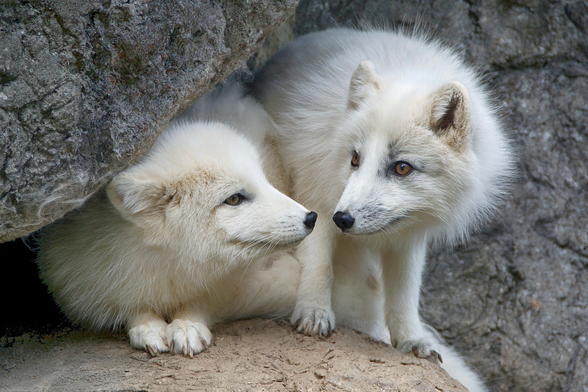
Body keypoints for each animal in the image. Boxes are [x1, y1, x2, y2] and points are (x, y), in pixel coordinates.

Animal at [38, 83, 316, 358]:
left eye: (264, 181)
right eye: (234, 199)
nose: (311, 217)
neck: (168, 266)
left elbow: (204, 299)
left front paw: (187, 323)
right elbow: (128, 303)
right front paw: (146, 325)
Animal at [250, 28, 512, 392]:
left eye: (402, 168)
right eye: (354, 159)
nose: (343, 218)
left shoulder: (409, 236)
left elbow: (405, 292)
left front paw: (412, 340)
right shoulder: (316, 197)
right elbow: (319, 263)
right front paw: (314, 312)